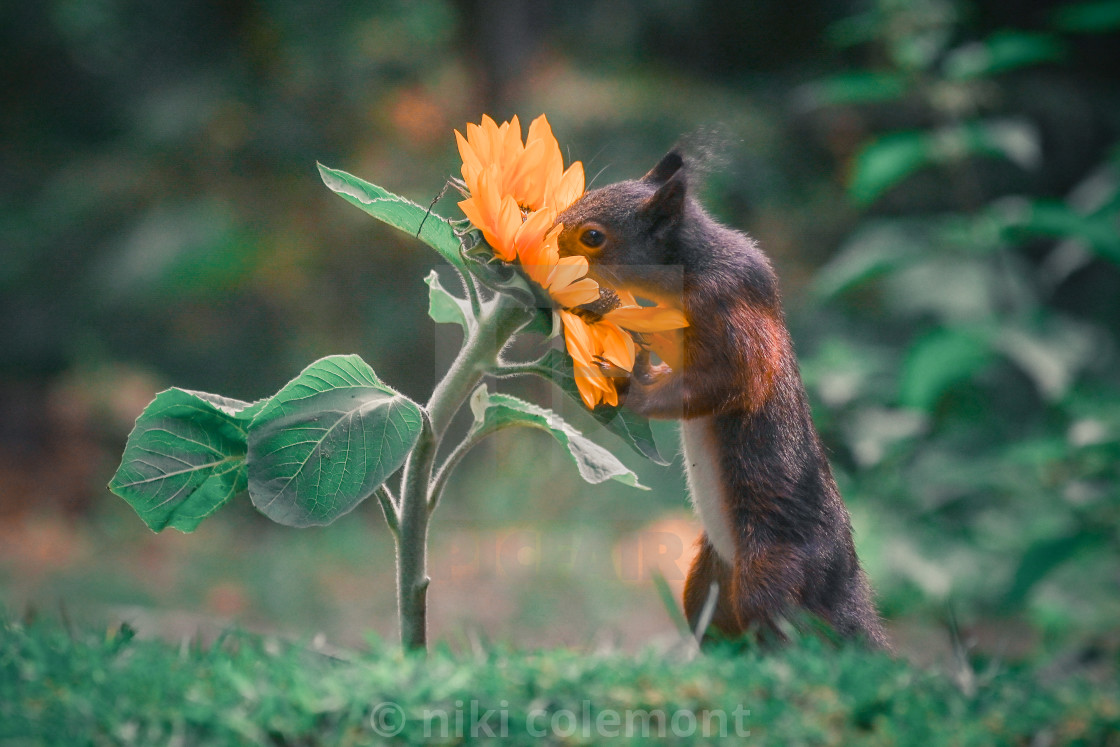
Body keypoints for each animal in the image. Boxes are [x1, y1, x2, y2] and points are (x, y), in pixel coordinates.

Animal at [555, 150, 887, 649]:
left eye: (592, 237)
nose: (543, 238)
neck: (691, 262)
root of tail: (840, 591)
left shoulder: (729, 309)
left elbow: (725, 383)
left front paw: (634, 386)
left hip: (772, 576)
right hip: (706, 585)